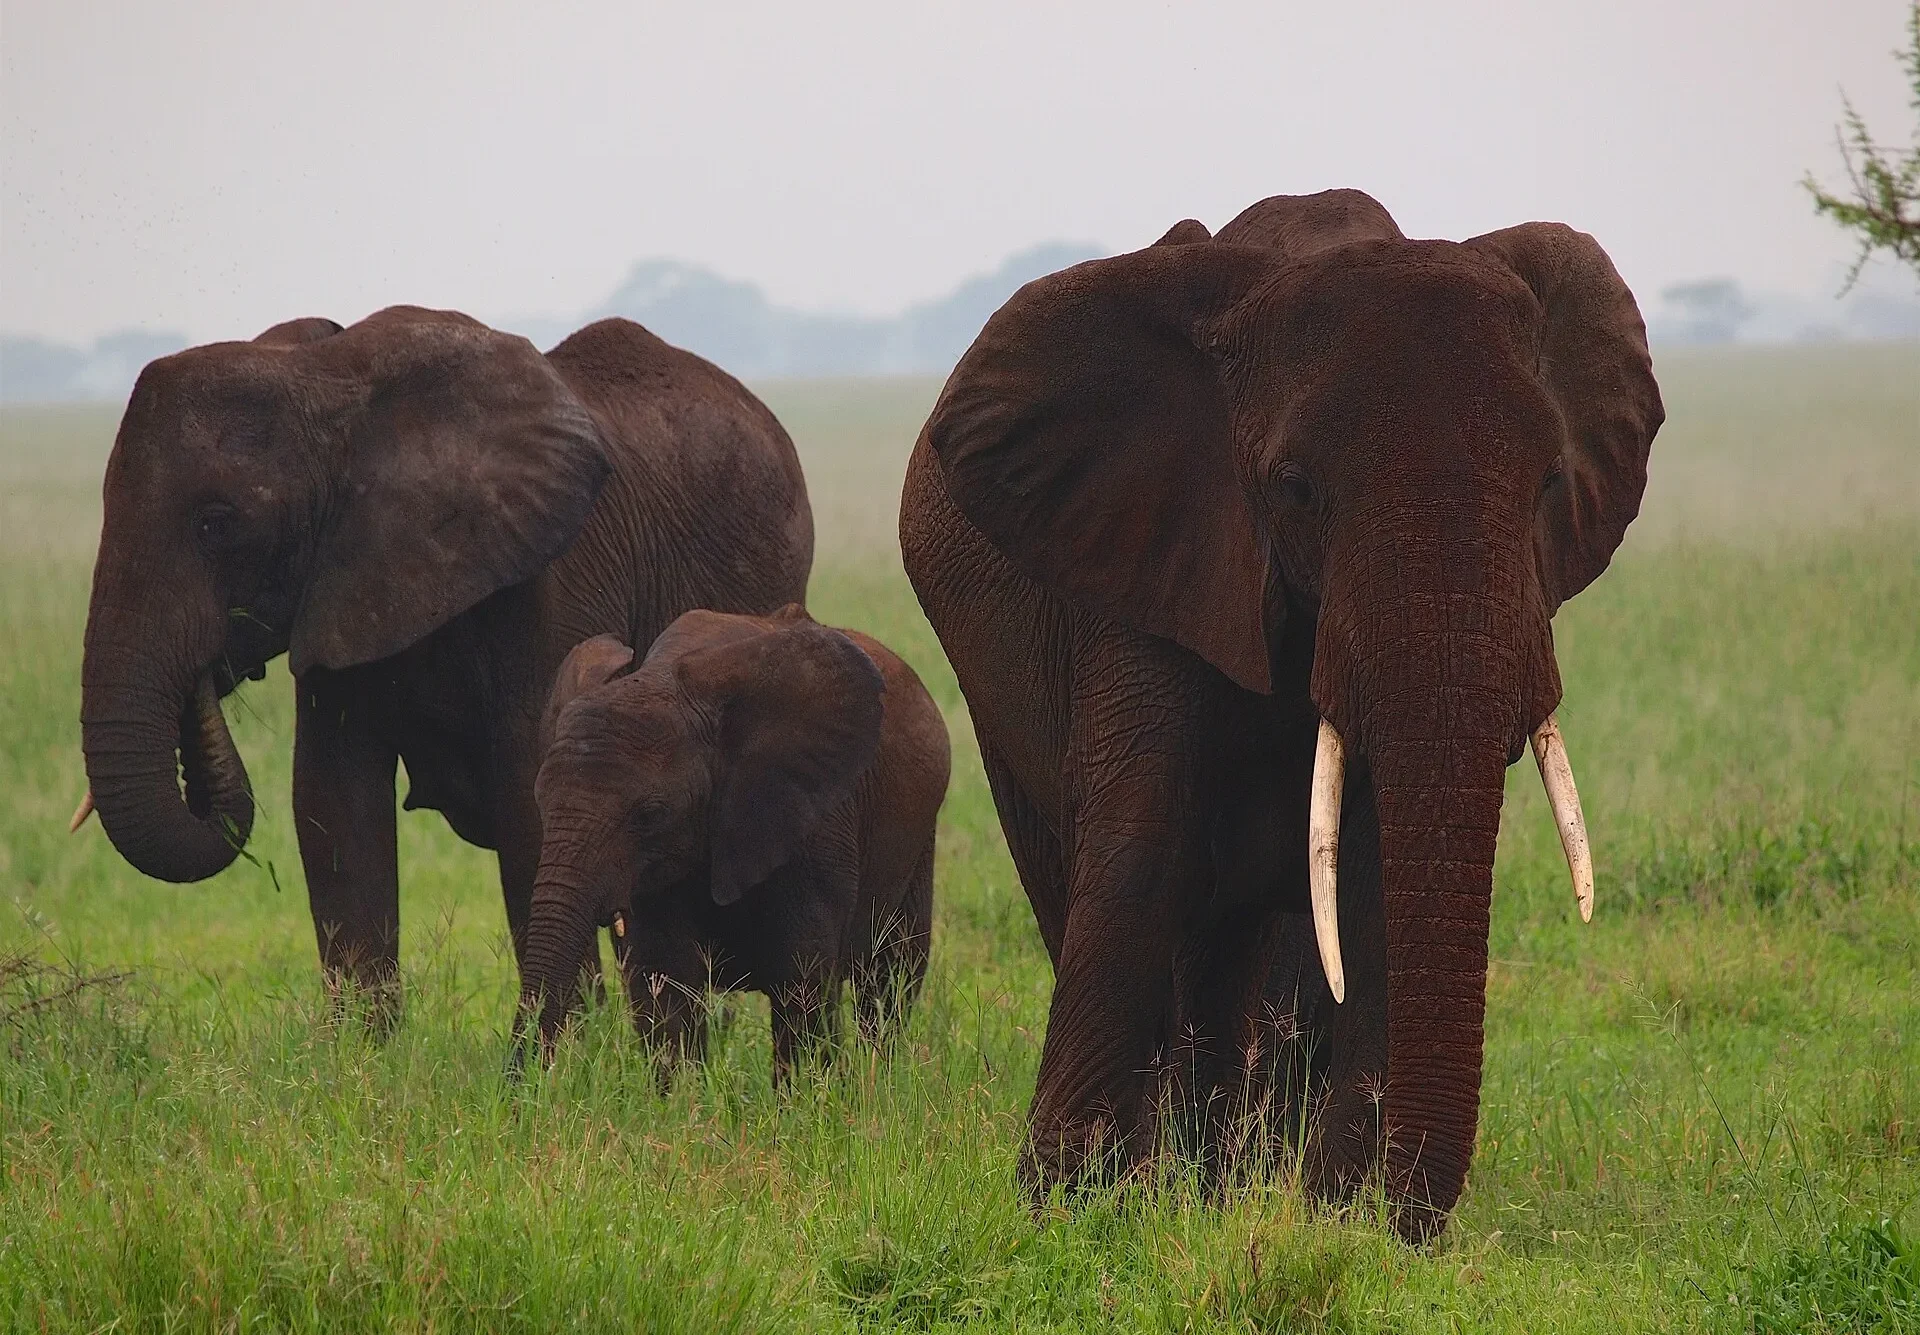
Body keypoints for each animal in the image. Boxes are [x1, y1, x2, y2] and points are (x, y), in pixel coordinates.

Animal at [76, 306, 814, 1016]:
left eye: (216, 523)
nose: (209, 672)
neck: (324, 380)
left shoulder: (548, 577)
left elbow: (532, 802)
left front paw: (570, 1046)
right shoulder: (340, 585)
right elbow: (332, 806)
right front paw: (364, 1052)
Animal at [515, 606, 950, 1082]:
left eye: (650, 815)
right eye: (540, 802)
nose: (520, 1087)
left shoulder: (815, 819)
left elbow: (802, 979)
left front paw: (809, 1097)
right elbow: (665, 980)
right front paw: (681, 1098)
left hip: (919, 838)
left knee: (890, 979)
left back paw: (880, 1080)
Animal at [898, 189, 1661, 1240]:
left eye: (1550, 483)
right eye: (1295, 488)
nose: (1396, 1220)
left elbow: (1374, 877)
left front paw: (1334, 1208)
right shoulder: (1155, 550)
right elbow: (1141, 847)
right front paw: (1062, 1203)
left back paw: (1216, 1179)